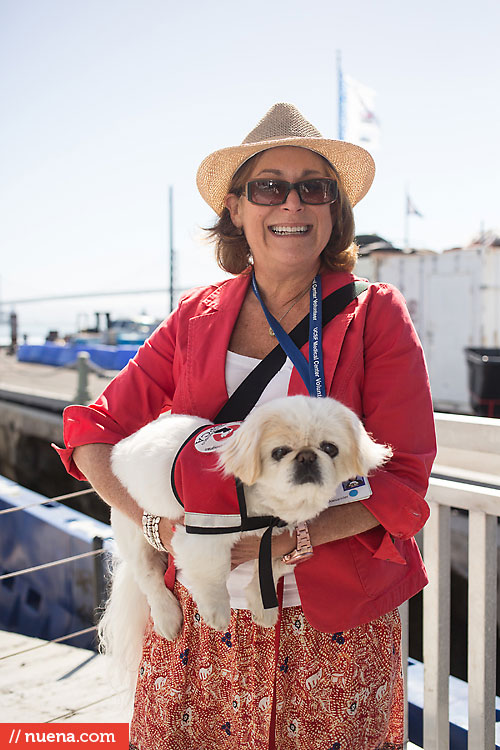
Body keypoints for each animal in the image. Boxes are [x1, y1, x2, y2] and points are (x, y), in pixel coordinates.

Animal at [99, 396, 392, 684]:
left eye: (330, 448)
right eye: (279, 452)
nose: (307, 456)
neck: (266, 505)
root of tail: (123, 447)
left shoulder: (281, 535)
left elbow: (271, 569)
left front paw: (261, 605)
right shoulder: (202, 532)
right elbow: (213, 573)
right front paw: (216, 613)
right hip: (134, 531)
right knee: (149, 577)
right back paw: (167, 615)